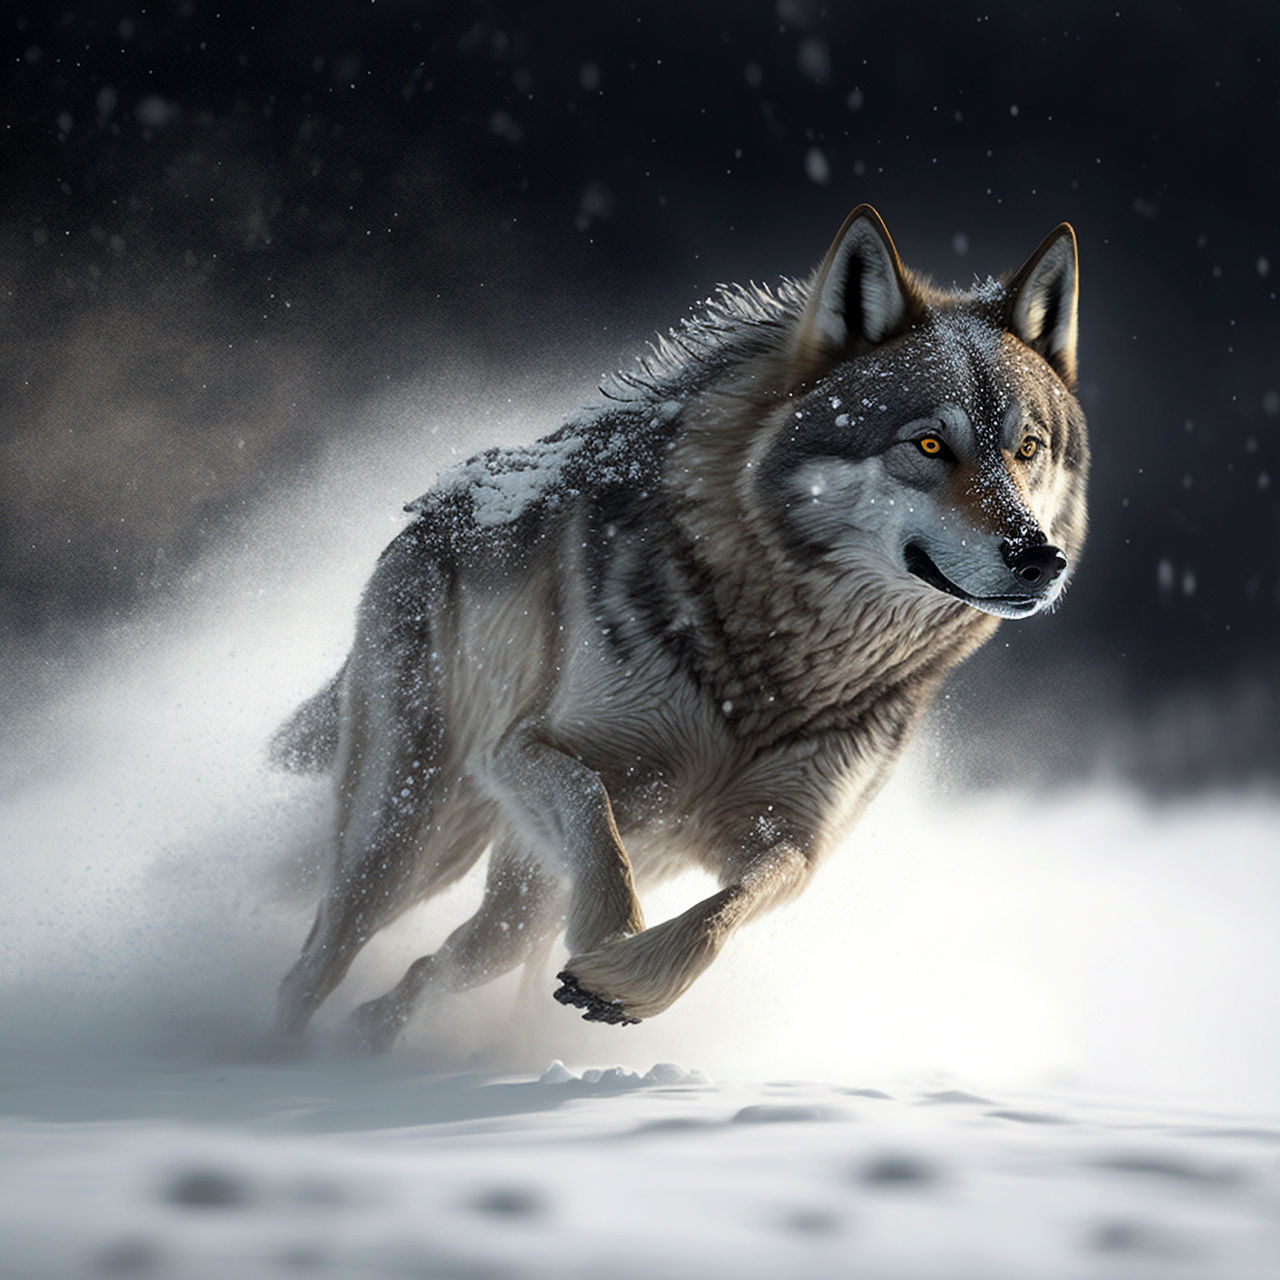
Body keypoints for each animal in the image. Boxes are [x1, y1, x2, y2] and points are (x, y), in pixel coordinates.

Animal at [272, 205, 1088, 1050]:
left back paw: (375, 1034)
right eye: (929, 443)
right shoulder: (525, 752)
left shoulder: (789, 840)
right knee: (320, 962)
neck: (782, 674)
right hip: (408, 842)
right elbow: (598, 828)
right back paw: (276, 1056)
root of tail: (432, 503)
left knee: (449, 960)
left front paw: (626, 979)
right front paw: (608, 943)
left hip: (498, 887)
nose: (1040, 557)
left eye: (1028, 448)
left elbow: (720, 916)